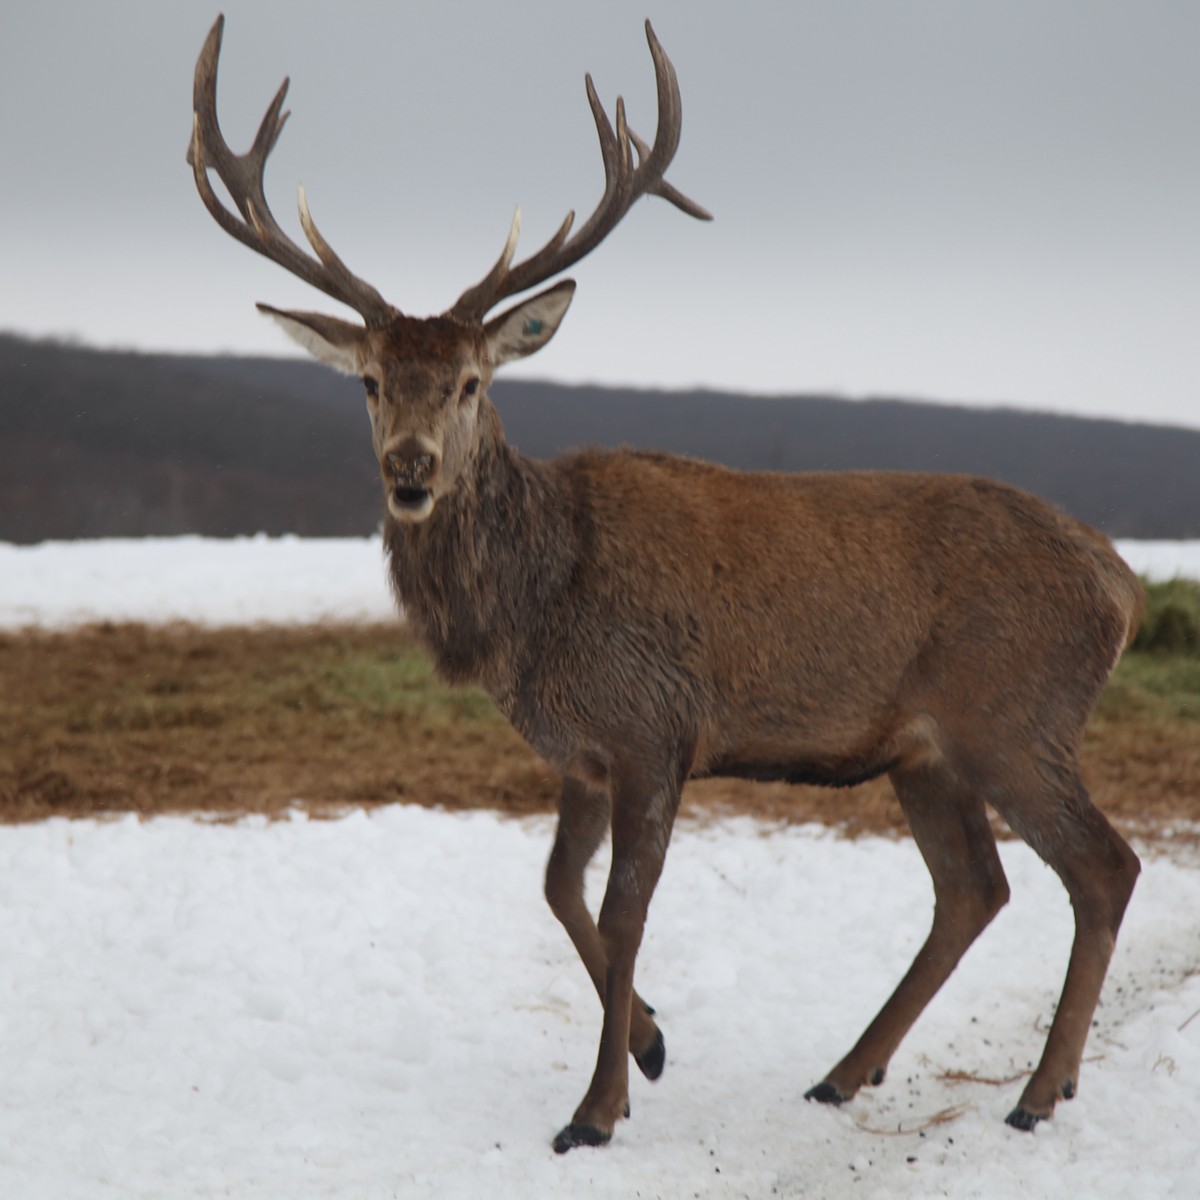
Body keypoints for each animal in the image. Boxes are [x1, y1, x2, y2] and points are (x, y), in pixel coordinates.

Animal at [187, 11, 1142, 1152]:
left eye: (470, 382)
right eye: (371, 381)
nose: (409, 469)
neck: (534, 610)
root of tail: (1121, 583)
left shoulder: (656, 727)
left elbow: (622, 912)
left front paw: (595, 1110)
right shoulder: (582, 750)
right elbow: (558, 891)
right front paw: (647, 1043)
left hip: (1016, 715)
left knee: (1103, 867)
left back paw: (1040, 1092)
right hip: (927, 750)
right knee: (974, 889)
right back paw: (847, 1072)